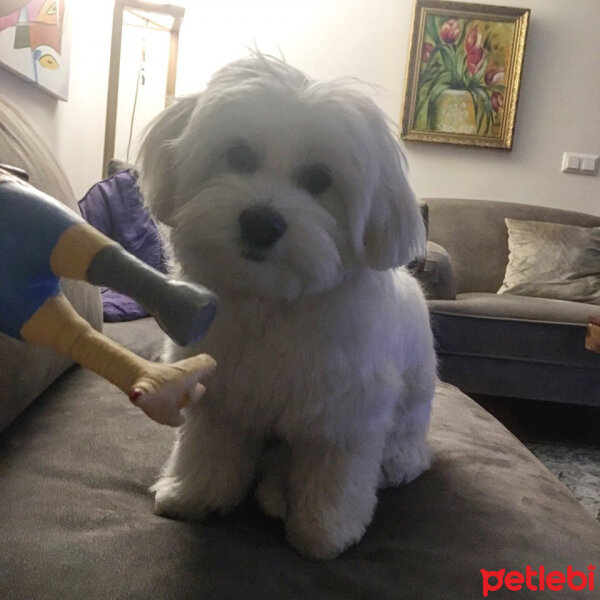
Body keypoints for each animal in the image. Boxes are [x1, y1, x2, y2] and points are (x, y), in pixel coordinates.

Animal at [138, 54, 436, 560]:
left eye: (320, 179)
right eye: (238, 155)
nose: (262, 223)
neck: (274, 302)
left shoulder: (346, 413)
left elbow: (334, 477)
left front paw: (324, 531)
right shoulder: (221, 389)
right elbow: (208, 446)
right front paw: (194, 494)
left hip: (408, 418)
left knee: (400, 450)